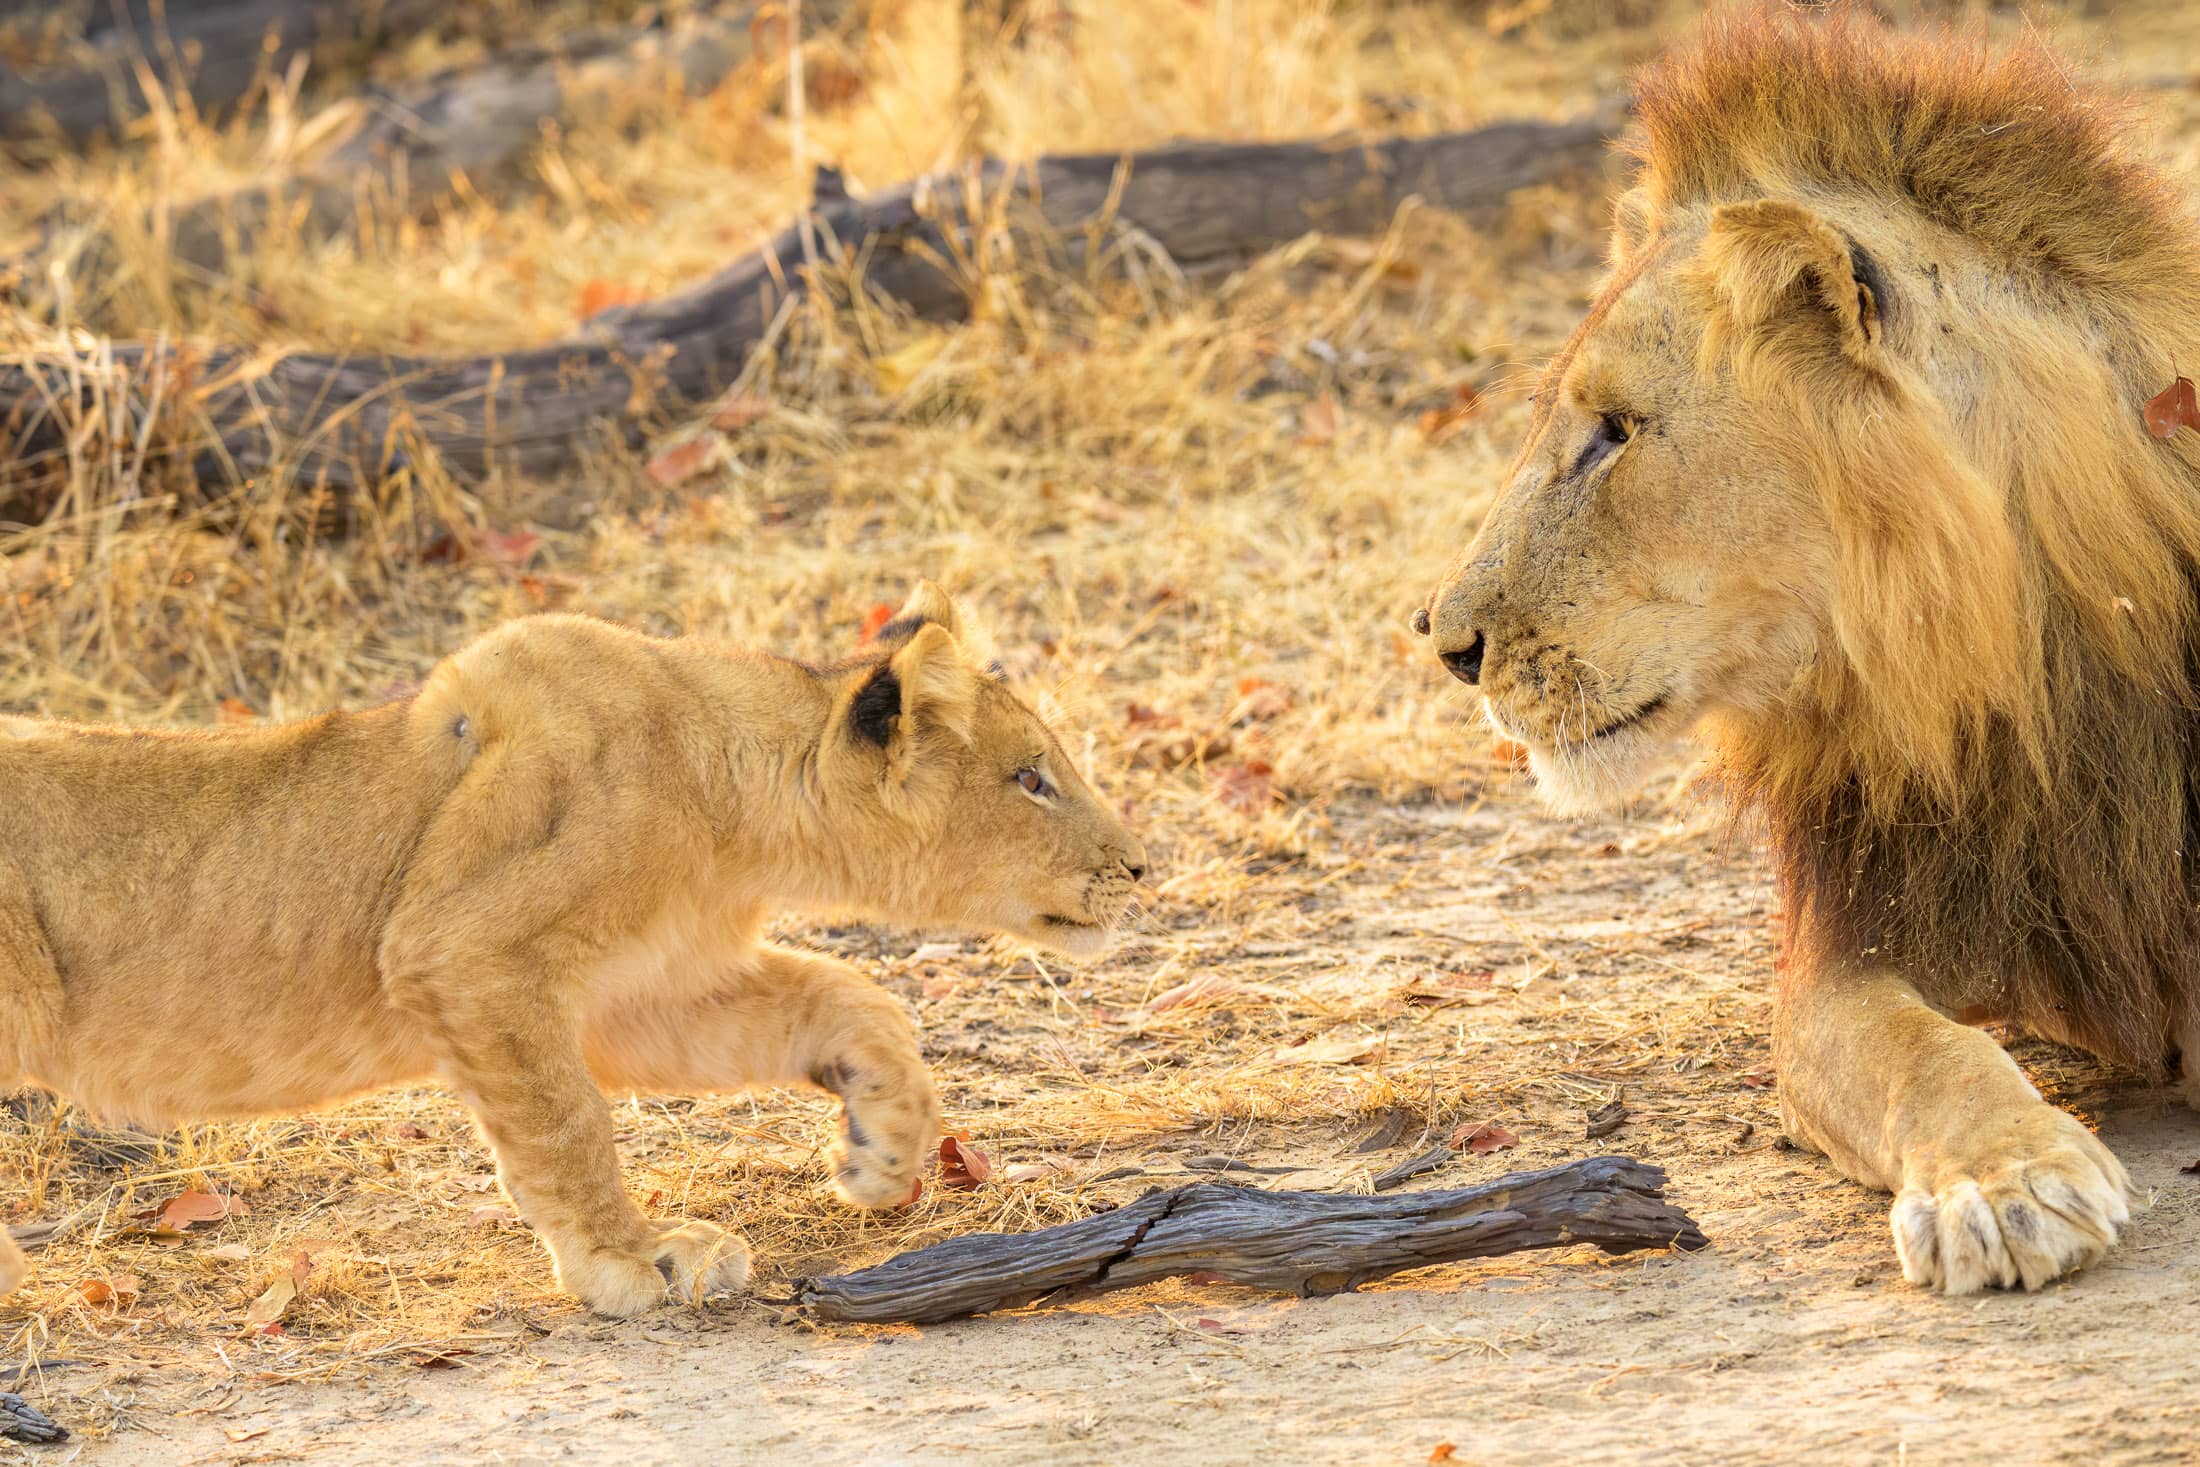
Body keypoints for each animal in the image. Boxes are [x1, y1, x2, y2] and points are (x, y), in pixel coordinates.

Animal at [0, 582, 1146, 1316]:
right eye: (1033, 778)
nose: (1140, 867)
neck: (729, 798)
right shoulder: (463, 952)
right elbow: (567, 1126)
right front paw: (633, 1263)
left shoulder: (640, 999)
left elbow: (851, 999)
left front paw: (882, 1153)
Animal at [1418, 6, 2200, 1293]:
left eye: (1613, 434)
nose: (1442, 642)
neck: (2026, 667)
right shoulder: (1846, 950)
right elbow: (1919, 1054)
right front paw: (2005, 1180)